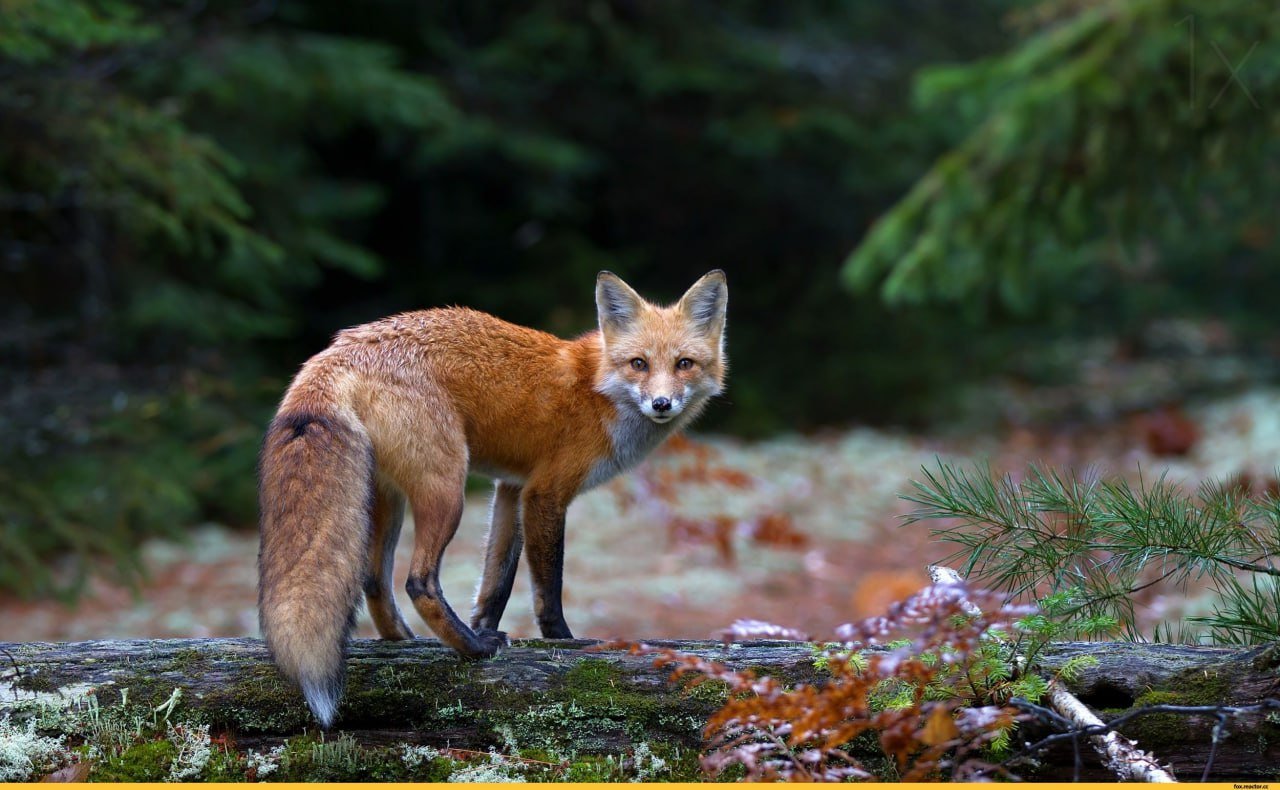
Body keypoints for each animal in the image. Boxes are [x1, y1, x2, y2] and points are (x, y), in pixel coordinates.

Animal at [257, 271, 732, 727]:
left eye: (684, 364)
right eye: (639, 364)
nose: (661, 403)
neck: (597, 390)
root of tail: (338, 349)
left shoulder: (512, 489)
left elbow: (496, 582)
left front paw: (485, 624)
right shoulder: (545, 493)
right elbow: (547, 589)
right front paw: (563, 642)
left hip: (388, 498)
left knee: (374, 581)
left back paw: (411, 642)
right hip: (447, 489)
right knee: (418, 582)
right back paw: (472, 649)